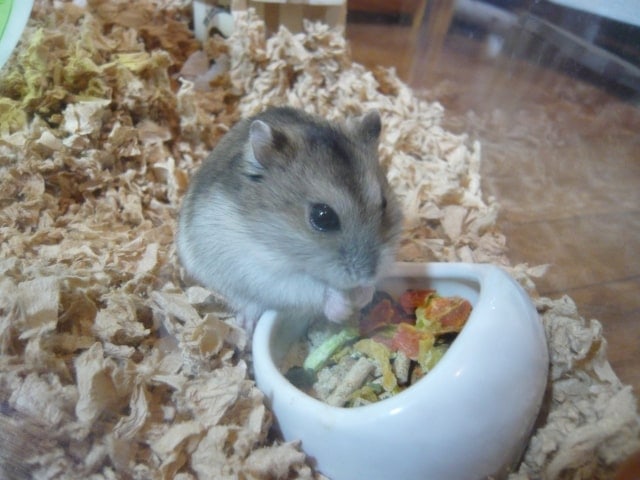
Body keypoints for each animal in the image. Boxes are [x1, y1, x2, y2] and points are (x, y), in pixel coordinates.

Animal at [177, 107, 402, 333]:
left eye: (384, 203)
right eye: (322, 216)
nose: (368, 275)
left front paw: (365, 294)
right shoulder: (261, 270)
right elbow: (310, 287)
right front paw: (343, 310)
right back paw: (247, 325)